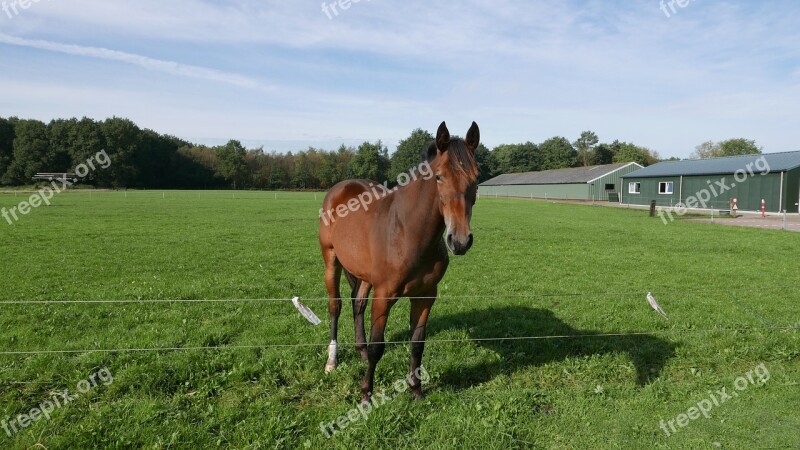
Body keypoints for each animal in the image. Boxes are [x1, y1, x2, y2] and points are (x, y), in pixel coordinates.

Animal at [318, 120, 482, 400]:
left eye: (477, 177)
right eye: (439, 176)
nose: (459, 241)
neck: (407, 232)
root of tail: (342, 186)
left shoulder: (426, 295)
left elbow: (417, 344)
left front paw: (416, 390)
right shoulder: (384, 295)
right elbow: (378, 346)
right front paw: (366, 394)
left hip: (363, 274)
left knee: (357, 303)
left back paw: (360, 352)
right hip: (331, 260)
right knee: (335, 306)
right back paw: (332, 361)